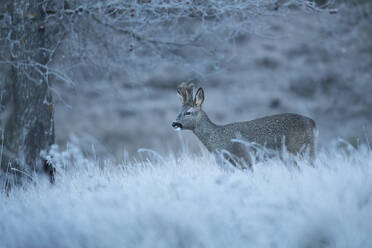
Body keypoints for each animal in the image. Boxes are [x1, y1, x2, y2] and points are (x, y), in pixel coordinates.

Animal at [172, 83, 316, 167]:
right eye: (179, 111)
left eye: (188, 112)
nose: (174, 123)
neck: (216, 140)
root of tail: (313, 123)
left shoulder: (244, 159)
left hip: (299, 150)